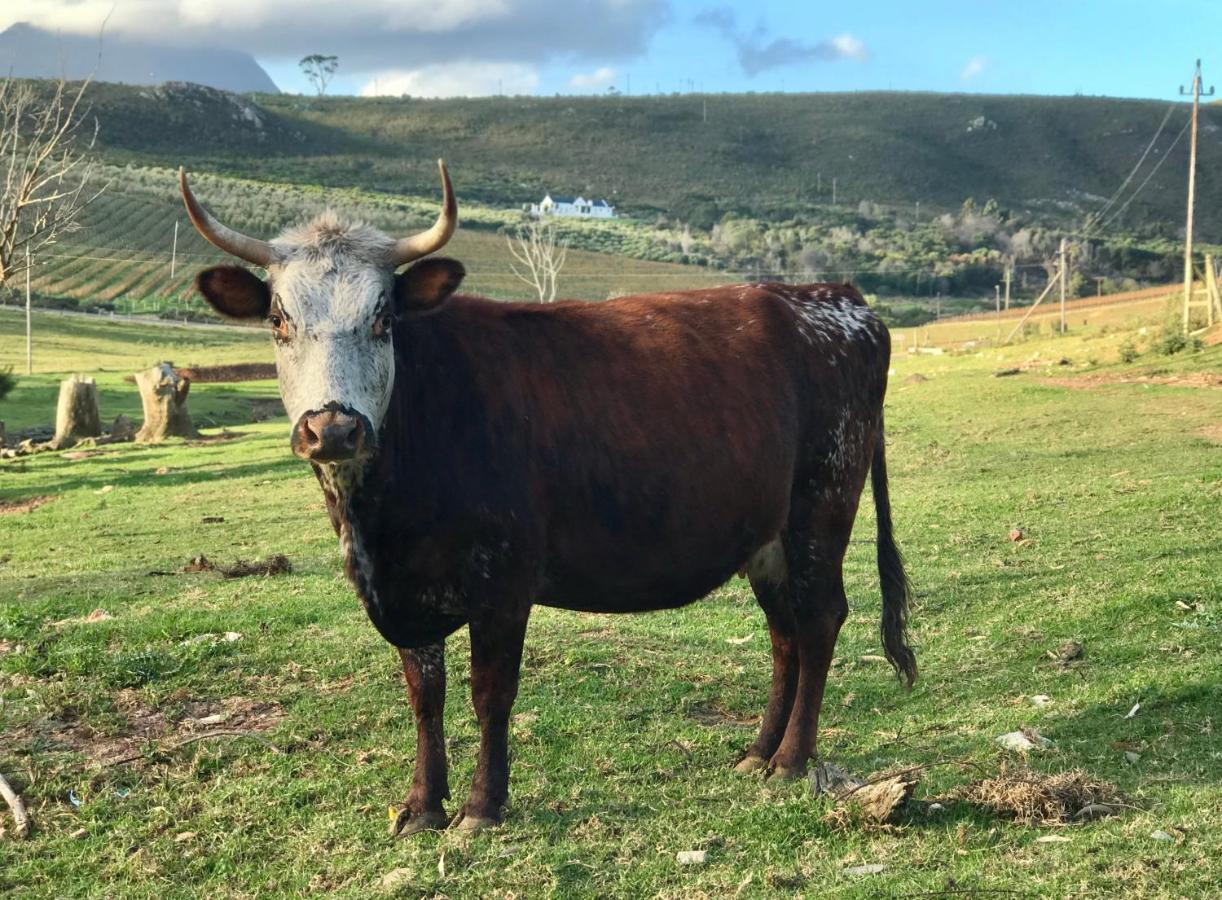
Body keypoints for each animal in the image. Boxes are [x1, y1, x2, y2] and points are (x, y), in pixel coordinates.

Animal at [177, 161, 914, 836]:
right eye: (278, 319)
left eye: (384, 318)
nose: (332, 427)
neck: (380, 522)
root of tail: (836, 296)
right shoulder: (407, 596)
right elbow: (424, 696)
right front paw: (422, 805)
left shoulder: (504, 582)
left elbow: (489, 693)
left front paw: (480, 807)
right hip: (766, 539)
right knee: (784, 633)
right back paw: (758, 752)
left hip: (821, 510)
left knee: (819, 621)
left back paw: (791, 759)